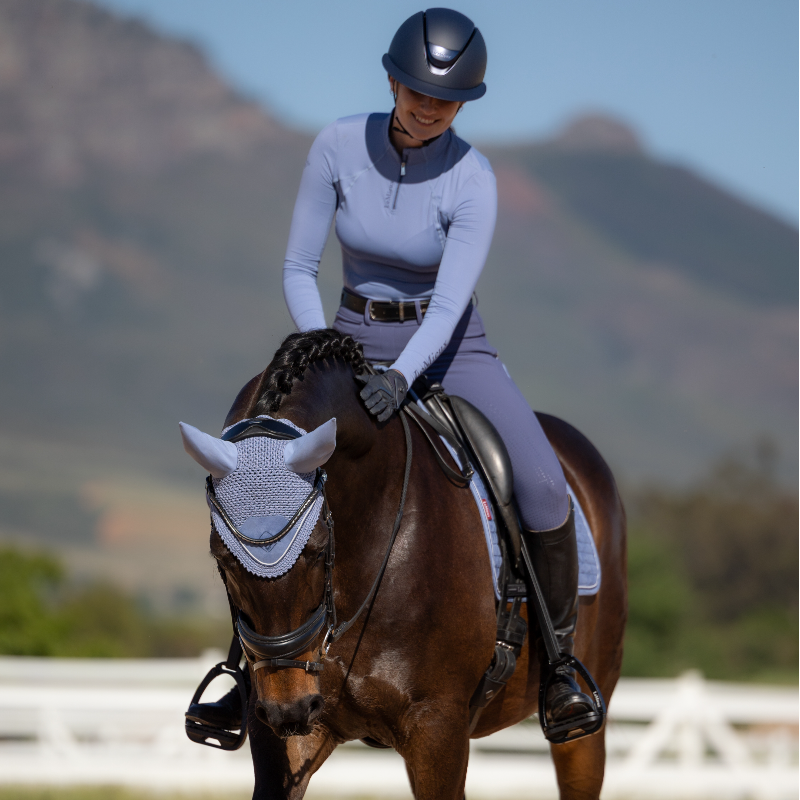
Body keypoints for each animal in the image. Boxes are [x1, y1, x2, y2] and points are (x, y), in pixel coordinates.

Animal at [200, 329, 627, 800]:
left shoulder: (437, 727)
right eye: (222, 558)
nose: (288, 711)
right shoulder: (291, 734)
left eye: (315, 548)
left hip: (582, 730)